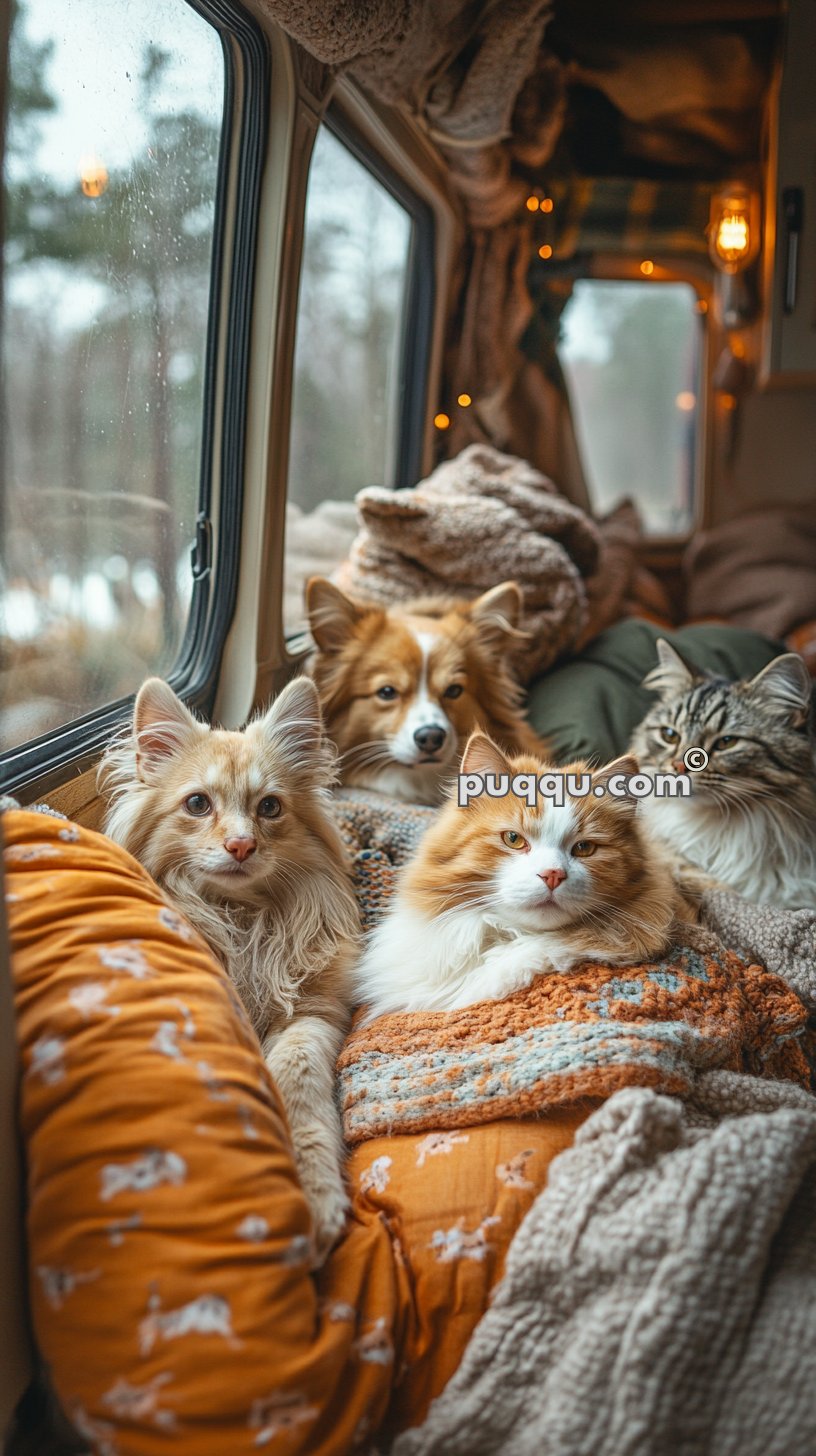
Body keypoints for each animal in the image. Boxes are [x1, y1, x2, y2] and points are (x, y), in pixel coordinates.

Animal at [98, 678, 357, 1263]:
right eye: (198, 804)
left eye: (270, 807)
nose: (241, 845)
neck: (240, 918)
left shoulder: (313, 1014)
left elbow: (297, 1083)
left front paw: (315, 1192)